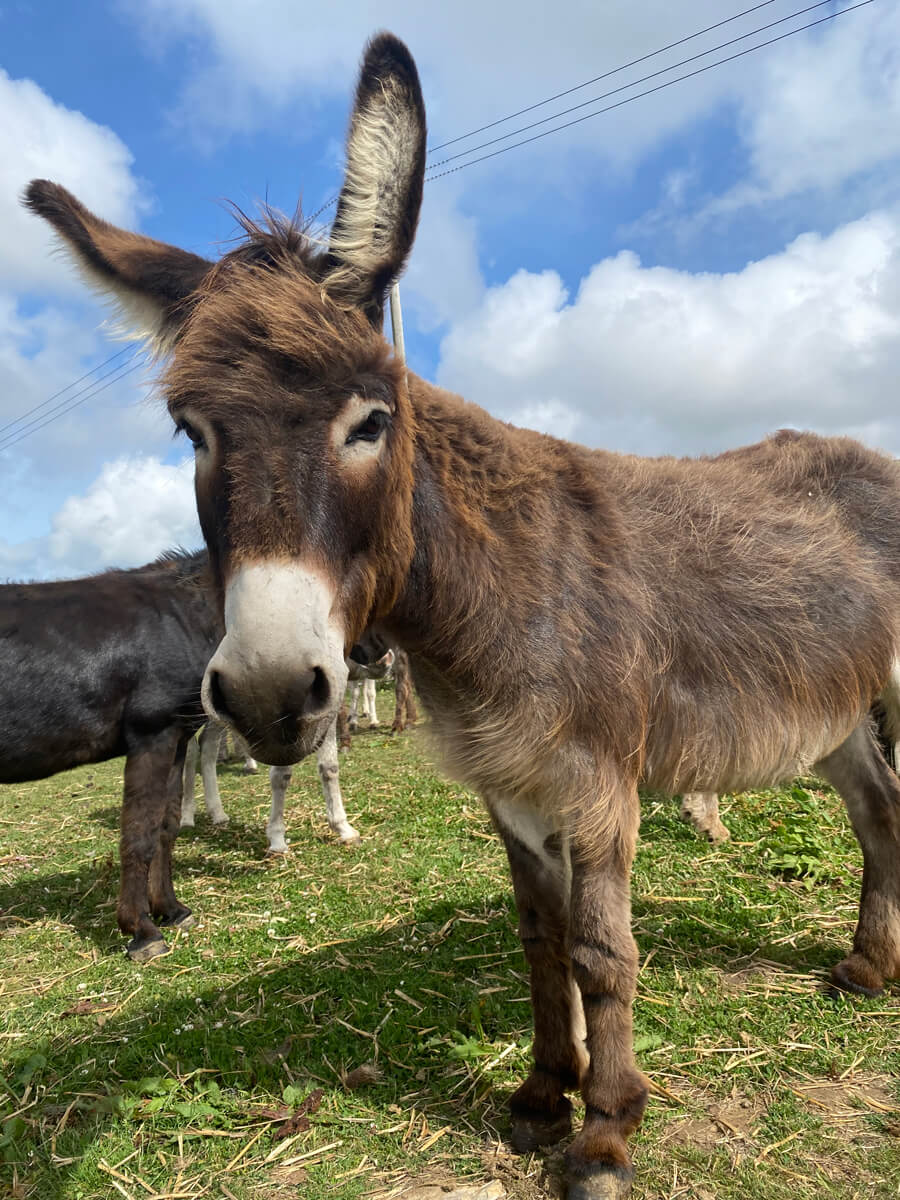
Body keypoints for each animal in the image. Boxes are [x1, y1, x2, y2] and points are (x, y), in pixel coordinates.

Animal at [25, 32, 900, 1200]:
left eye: (371, 420)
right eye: (190, 434)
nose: (268, 691)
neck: (498, 584)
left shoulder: (598, 780)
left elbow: (601, 953)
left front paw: (606, 1132)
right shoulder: (512, 787)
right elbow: (539, 942)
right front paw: (539, 1096)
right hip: (833, 705)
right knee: (879, 810)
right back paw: (870, 966)